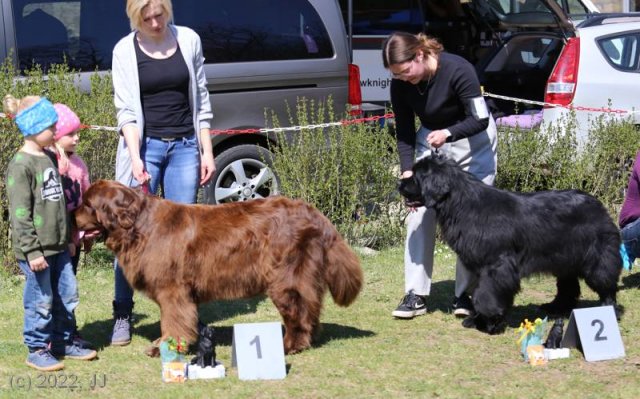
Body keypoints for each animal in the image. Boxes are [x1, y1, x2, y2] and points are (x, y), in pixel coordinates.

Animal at [76, 180, 360, 354]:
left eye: (88, 205)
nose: (71, 214)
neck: (138, 226)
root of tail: (315, 214)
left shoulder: (173, 290)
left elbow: (172, 320)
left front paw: (164, 346)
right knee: (310, 308)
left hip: (286, 277)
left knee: (298, 311)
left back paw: (290, 345)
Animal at [400, 155, 620, 336]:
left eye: (416, 176)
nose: (399, 182)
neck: (461, 204)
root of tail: (598, 204)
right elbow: (480, 292)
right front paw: (477, 319)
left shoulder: (496, 266)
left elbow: (485, 295)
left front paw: (488, 323)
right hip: (564, 259)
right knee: (568, 286)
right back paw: (555, 307)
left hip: (596, 258)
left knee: (606, 287)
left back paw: (608, 312)